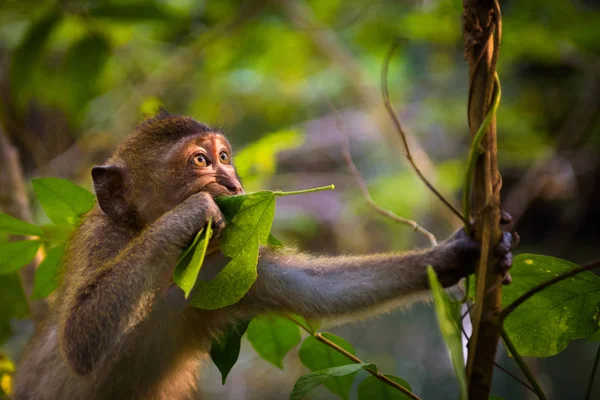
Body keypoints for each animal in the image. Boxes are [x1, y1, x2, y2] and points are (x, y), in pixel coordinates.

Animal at [11, 111, 512, 400]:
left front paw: (459, 255)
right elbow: (79, 339)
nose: (233, 185)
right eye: (200, 162)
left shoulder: (227, 264)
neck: (174, 270)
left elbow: (318, 290)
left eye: (225, 157)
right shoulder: (104, 241)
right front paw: (190, 213)